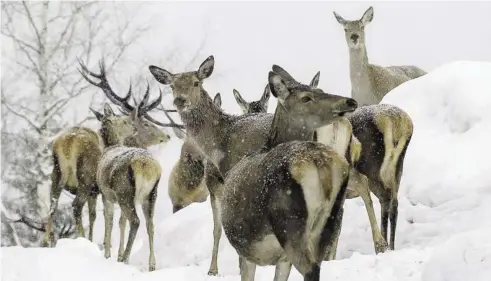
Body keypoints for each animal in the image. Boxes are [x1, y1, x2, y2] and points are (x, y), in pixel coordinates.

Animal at [42, 58, 173, 245]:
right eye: (146, 123)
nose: (167, 135)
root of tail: (68, 143)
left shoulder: (95, 193)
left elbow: (93, 216)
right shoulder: (101, 191)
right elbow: (112, 220)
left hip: (56, 174)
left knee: (52, 206)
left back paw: (47, 241)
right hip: (86, 178)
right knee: (76, 206)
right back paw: (81, 238)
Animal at [147, 55, 358, 274]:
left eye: (196, 82)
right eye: (172, 85)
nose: (180, 100)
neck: (220, 140)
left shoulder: (223, 182)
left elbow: (218, 228)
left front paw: (214, 270)